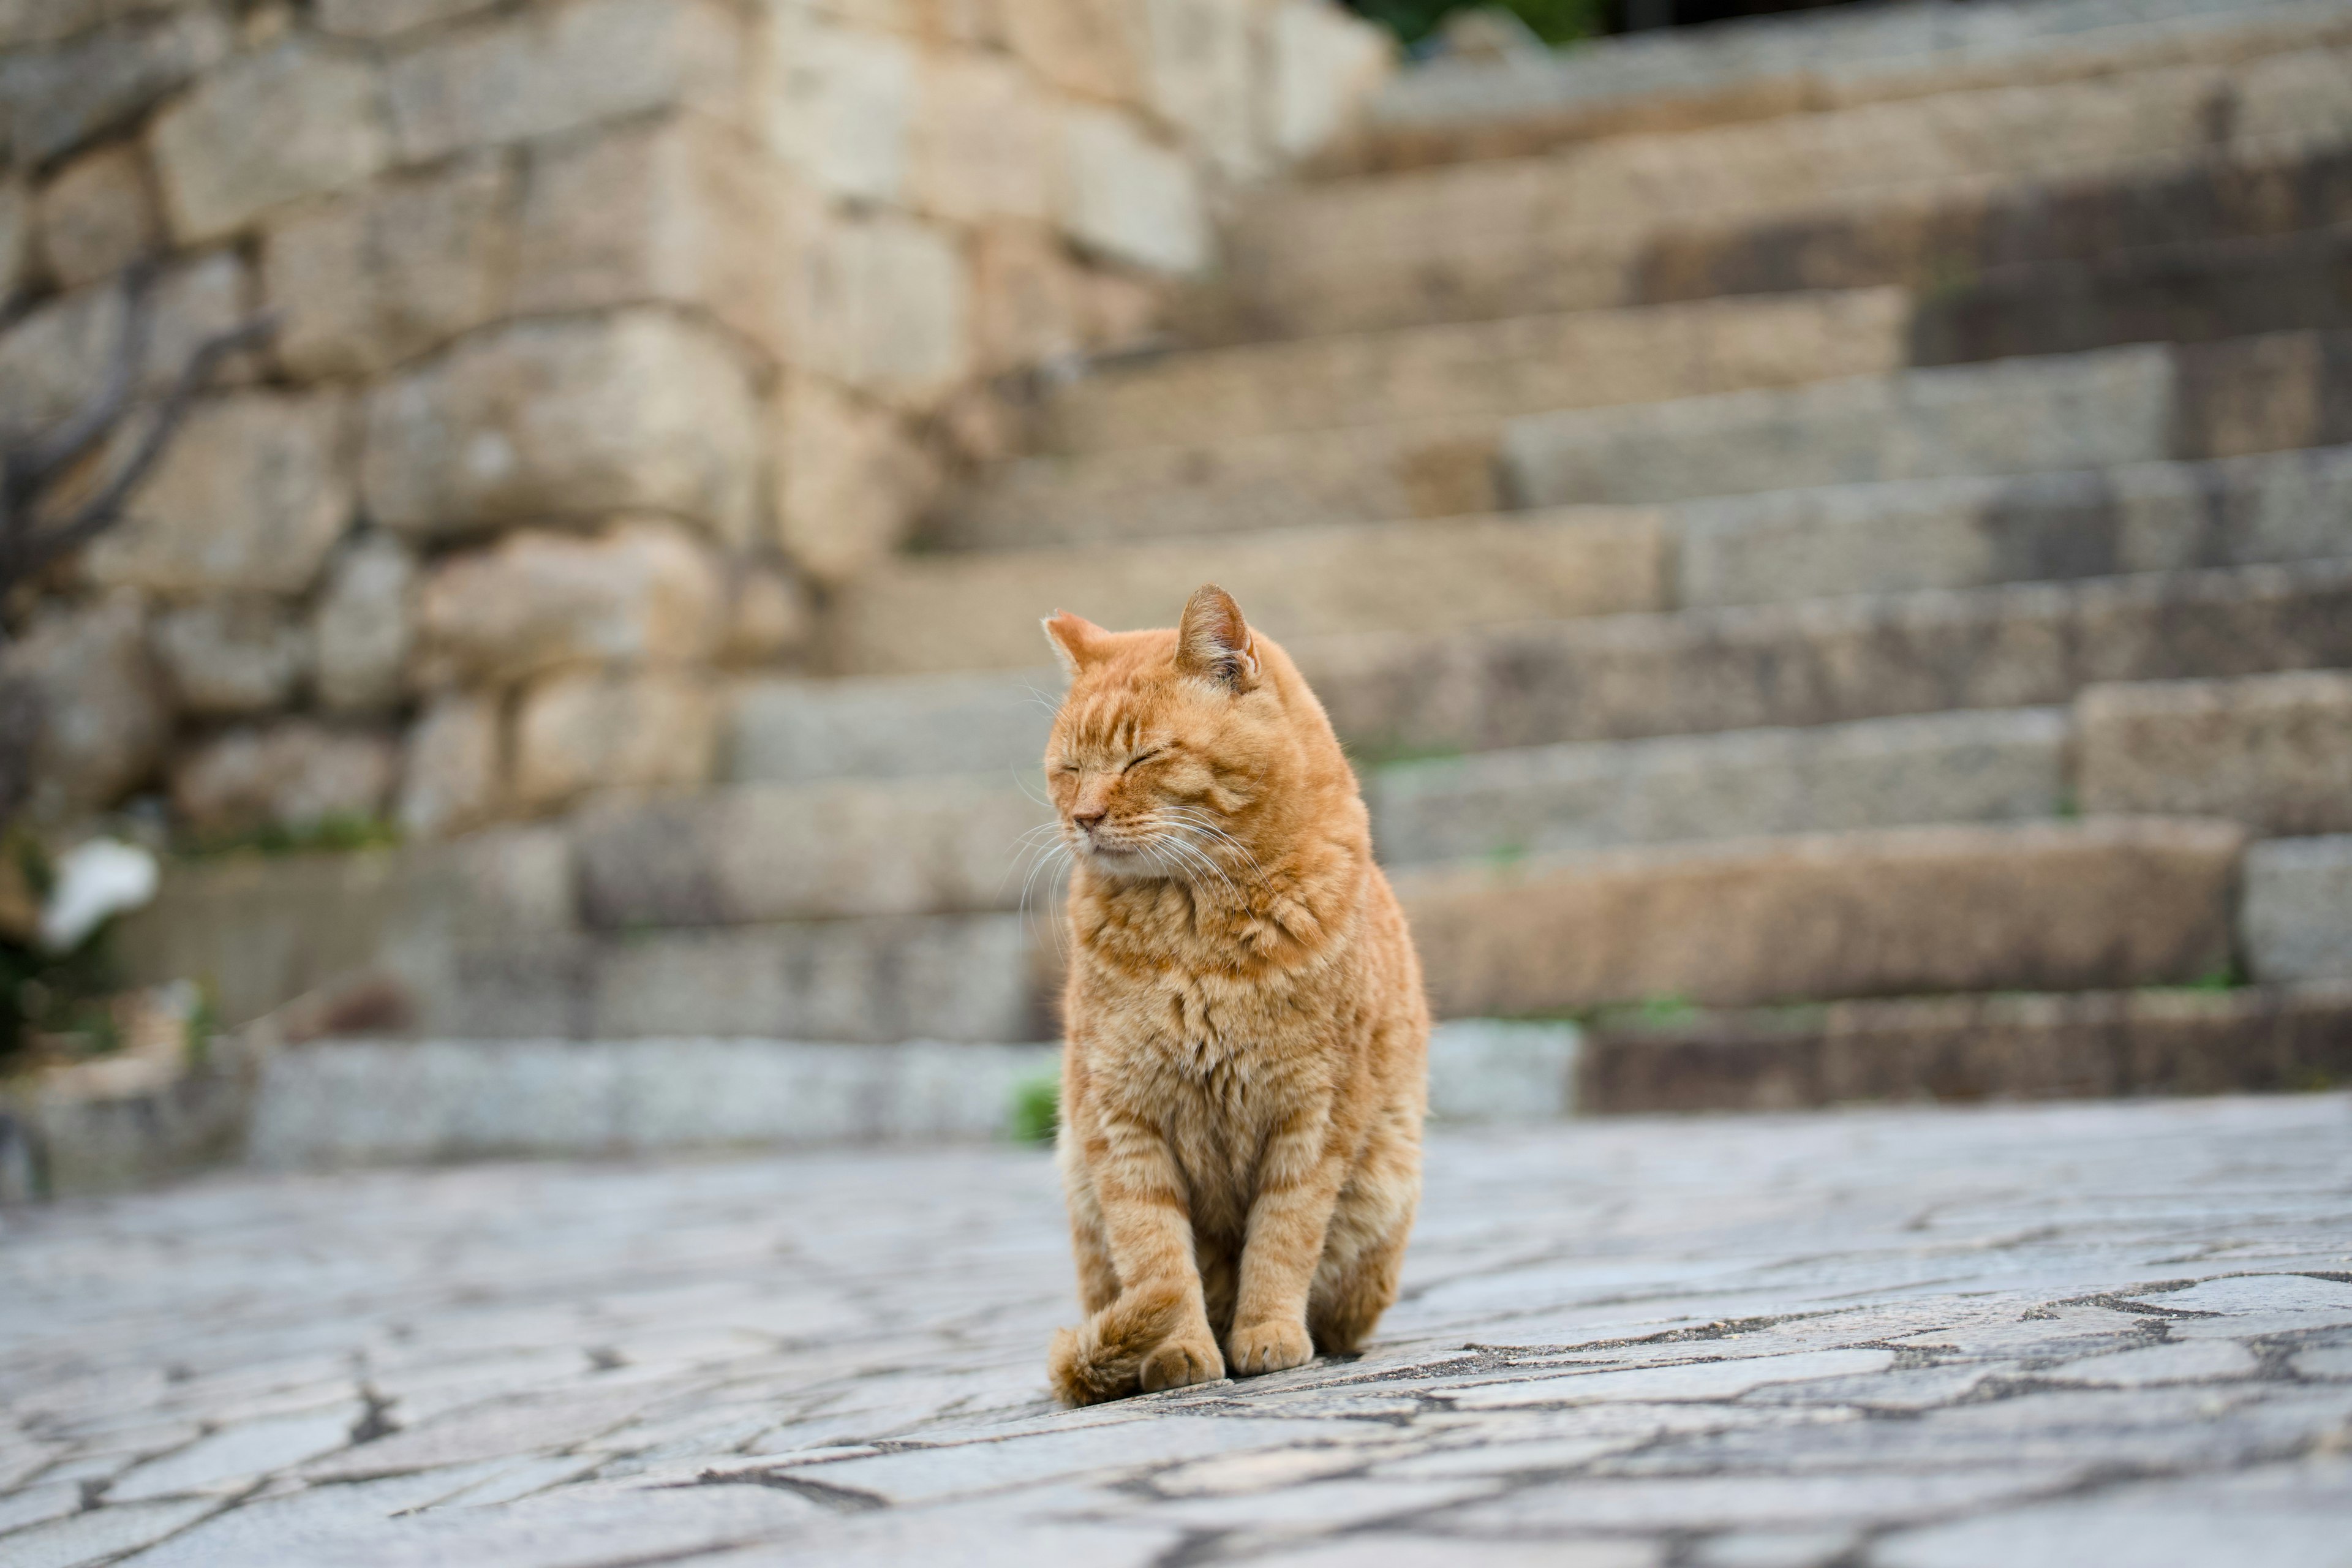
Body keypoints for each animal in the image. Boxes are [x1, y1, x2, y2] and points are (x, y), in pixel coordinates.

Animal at [1049, 582, 1430, 1401]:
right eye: (1068, 767)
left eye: (1142, 756)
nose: (1084, 817)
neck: (1193, 929)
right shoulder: (1123, 1125)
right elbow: (1158, 1258)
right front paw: (1181, 1352)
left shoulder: (1314, 1119)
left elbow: (1282, 1239)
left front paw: (1266, 1334)